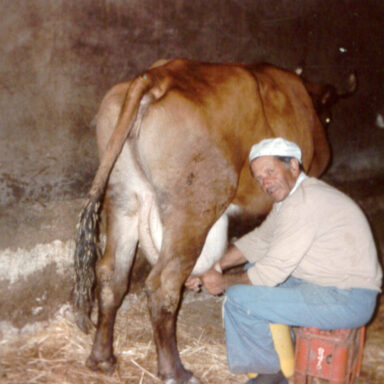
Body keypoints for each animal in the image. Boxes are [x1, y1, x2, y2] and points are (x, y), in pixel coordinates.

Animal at [74, 58, 330, 382]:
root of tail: (158, 75)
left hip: (123, 198)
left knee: (112, 274)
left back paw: (102, 358)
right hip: (192, 212)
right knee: (163, 285)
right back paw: (175, 371)